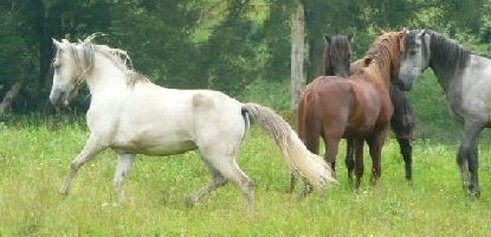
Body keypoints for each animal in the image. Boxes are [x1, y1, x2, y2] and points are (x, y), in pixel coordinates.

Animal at [50, 34, 338, 210]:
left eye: (56, 64)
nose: (55, 99)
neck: (113, 89)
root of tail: (240, 106)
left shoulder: (98, 140)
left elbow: (74, 164)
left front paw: (62, 193)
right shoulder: (126, 153)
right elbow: (118, 183)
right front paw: (120, 207)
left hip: (218, 156)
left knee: (244, 183)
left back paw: (248, 217)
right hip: (210, 156)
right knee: (221, 181)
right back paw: (189, 200)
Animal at [296, 30, 408, 188]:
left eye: (348, 55)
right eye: (402, 51)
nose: (401, 80)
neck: (375, 77)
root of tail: (313, 91)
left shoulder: (358, 136)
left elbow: (358, 167)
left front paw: (357, 189)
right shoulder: (379, 133)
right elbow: (376, 167)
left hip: (304, 136)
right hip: (332, 140)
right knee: (326, 164)